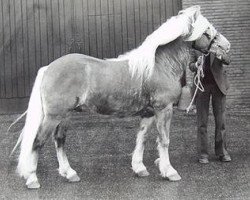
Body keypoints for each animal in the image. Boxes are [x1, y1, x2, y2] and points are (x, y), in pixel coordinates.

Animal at [11, 5, 230, 188]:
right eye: (206, 31)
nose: (226, 47)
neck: (160, 64)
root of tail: (49, 67)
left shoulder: (149, 113)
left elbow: (142, 138)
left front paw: (140, 168)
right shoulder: (164, 109)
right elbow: (164, 140)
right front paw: (169, 172)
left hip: (65, 115)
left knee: (60, 141)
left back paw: (70, 173)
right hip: (53, 116)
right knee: (37, 141)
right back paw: (32, 179)